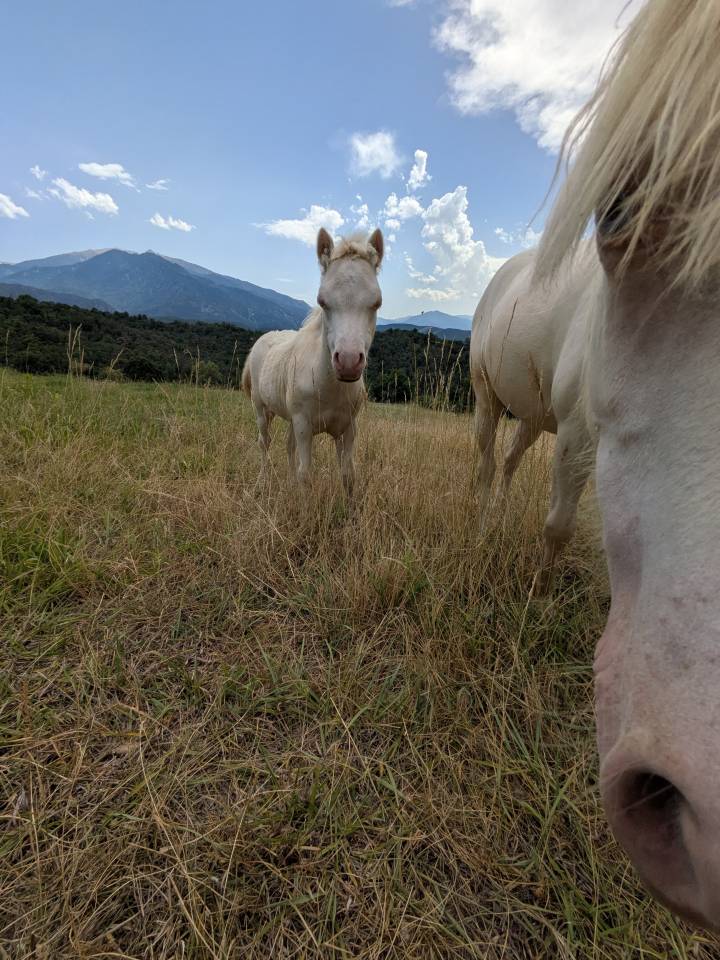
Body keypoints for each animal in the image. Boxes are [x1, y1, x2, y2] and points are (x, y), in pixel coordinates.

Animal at [242, 228, 383, 493]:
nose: (348, 362)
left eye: (377, 302)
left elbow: (348, 475)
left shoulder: (348, 428)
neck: (329, 386)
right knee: (264, 442)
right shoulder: (303, 426)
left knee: (287, 445)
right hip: (261, 408)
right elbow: (305, 474)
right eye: (322, 301)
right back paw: (262, 482)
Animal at [475, 0, 720, 930]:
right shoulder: (580, 438)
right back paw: (478, 519)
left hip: (532, 415)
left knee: (512, 460)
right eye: (618, 210)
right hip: (490, 399)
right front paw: (539, 595)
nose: (695, 808)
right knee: (488, 462)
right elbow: (553, 525)